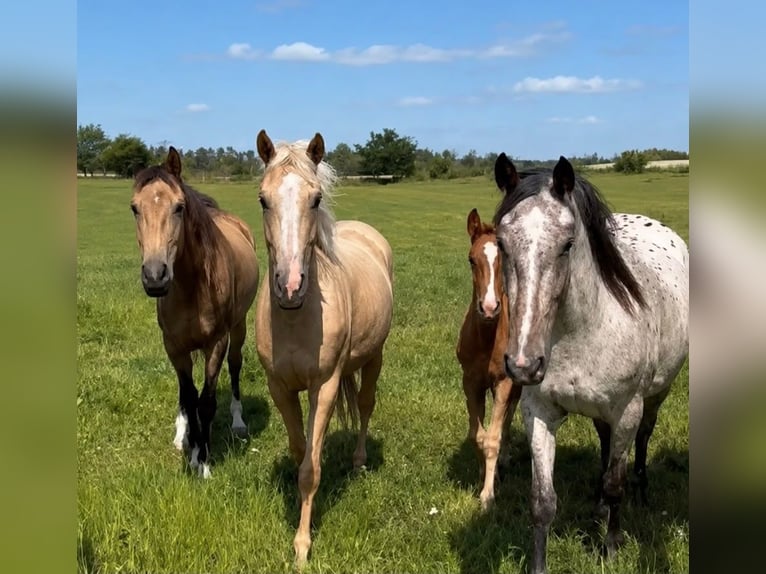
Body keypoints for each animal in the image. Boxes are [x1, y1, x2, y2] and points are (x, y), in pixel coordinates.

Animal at [130, 147, 260, 478]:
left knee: (235, 367)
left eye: (179, 207)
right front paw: (192, 451)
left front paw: (204, 462)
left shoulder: (216, 343)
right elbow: (189, 397)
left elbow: (207, 402)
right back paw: (183, 435)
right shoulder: (174, 346)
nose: (155, 276)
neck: (192, 286)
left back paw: (237, 422)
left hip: (238, 328)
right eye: (134, 208)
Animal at [254, 130, 394, 567]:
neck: (297, 319)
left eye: (315, 199)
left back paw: (358, 462)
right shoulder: (279, 388)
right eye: (263, 199)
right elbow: (302, 451)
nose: (290, 286)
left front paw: (302, 546)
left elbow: (310, 470)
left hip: (374, 358)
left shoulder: (326, 384)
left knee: (365, 405)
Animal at [492, 153, 688, 574]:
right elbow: (542, 502)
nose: (524, 365)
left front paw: (611, 548)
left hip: (657, 394)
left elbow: (616, 482)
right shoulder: (538, 412)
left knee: (643, 438)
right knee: (603, 441)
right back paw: (597, 504)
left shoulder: (627, 411)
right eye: (500, 242)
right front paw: (539, 565)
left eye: (567, 244)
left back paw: (641, 491)